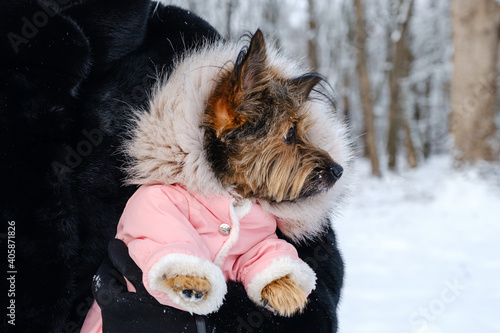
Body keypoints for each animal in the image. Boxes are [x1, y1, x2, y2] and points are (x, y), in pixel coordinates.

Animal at [81, 29, 352, 330]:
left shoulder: (255, 242)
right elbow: (172, 240)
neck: (228, 191)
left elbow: (267, 254)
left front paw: (284, 286)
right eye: (290, 134)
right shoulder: (154, 210)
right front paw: (190, 278)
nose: (338, 170)